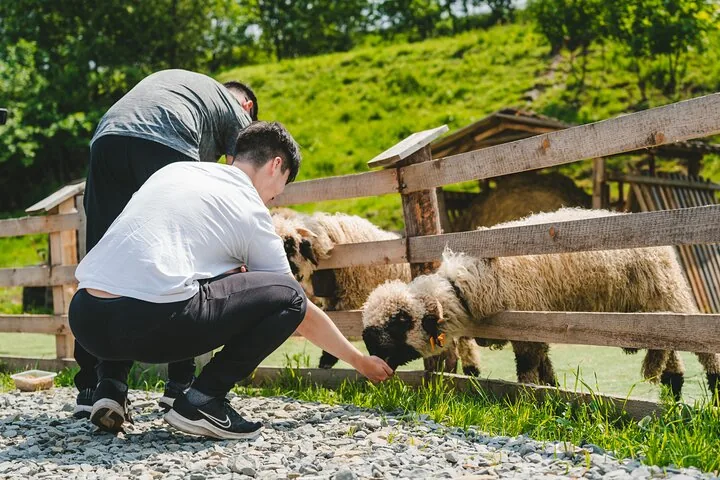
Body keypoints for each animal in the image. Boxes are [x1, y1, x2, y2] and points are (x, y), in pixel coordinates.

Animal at [271, 210, 484, 374]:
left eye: (289, 246)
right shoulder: (334, 299)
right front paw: (326, 361)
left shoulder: (351, 296)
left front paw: (327, 360)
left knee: (464, 336)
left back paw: (471, 369)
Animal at [361, 207, 720, 401]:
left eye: (399, 321)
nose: (370, 352)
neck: (466, 288)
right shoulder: (537, 330)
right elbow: (546, 371)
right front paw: (553, 394)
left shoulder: (528, 327)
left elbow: (528, 371)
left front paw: (530, 401)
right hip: (650, 311)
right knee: (672, 356)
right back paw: (671, 396)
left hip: (672, 297)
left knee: (703, 350)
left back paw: (711, 391)